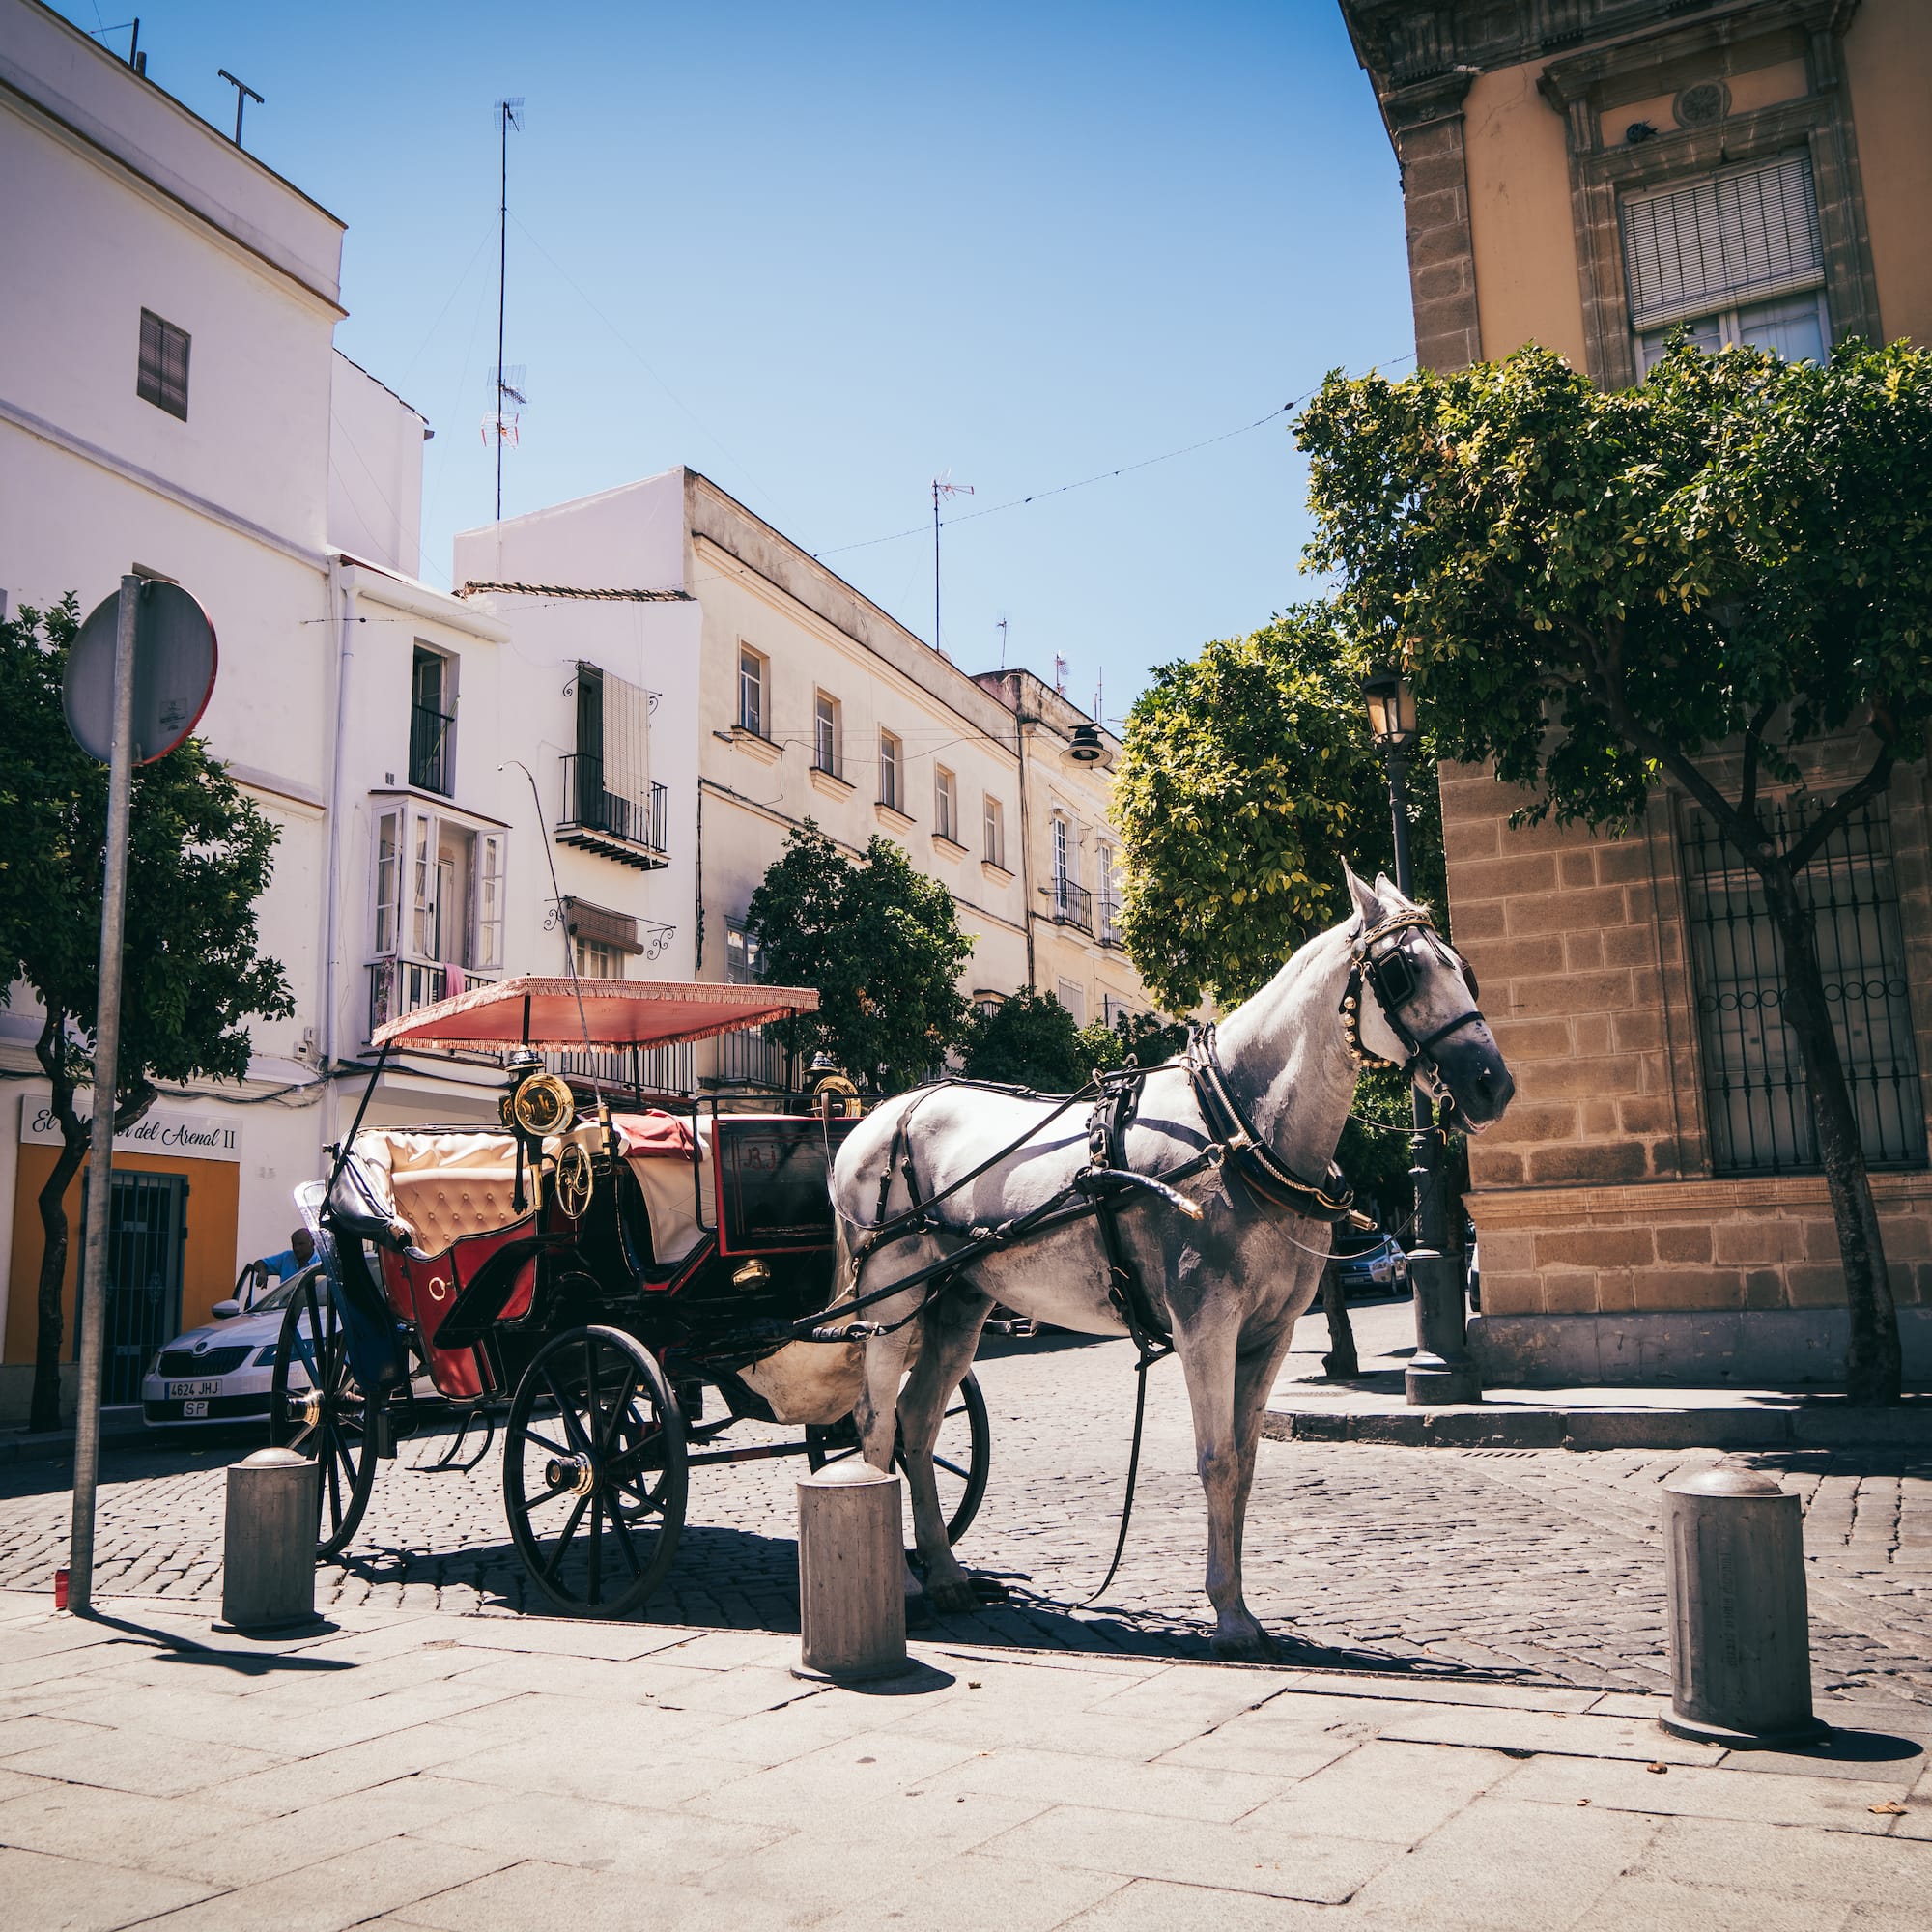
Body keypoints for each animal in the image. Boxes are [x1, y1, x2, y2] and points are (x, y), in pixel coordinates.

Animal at [827, 864, 1516, 1660]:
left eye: (1462, 968)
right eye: (1405, 973)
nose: (1493, 1084)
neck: (1238, 1129)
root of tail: (875, 1118)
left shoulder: (1269, 1333)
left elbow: (1244, 1464)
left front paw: (1240, 1604)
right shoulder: (1205, 1325)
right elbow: (1215, 1458)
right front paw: (1229, 1616)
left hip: (958, 1302)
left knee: (919, 1423)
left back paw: (942, 1573)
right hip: (889, 1301)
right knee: (875, 1420)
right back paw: (903, 1583)